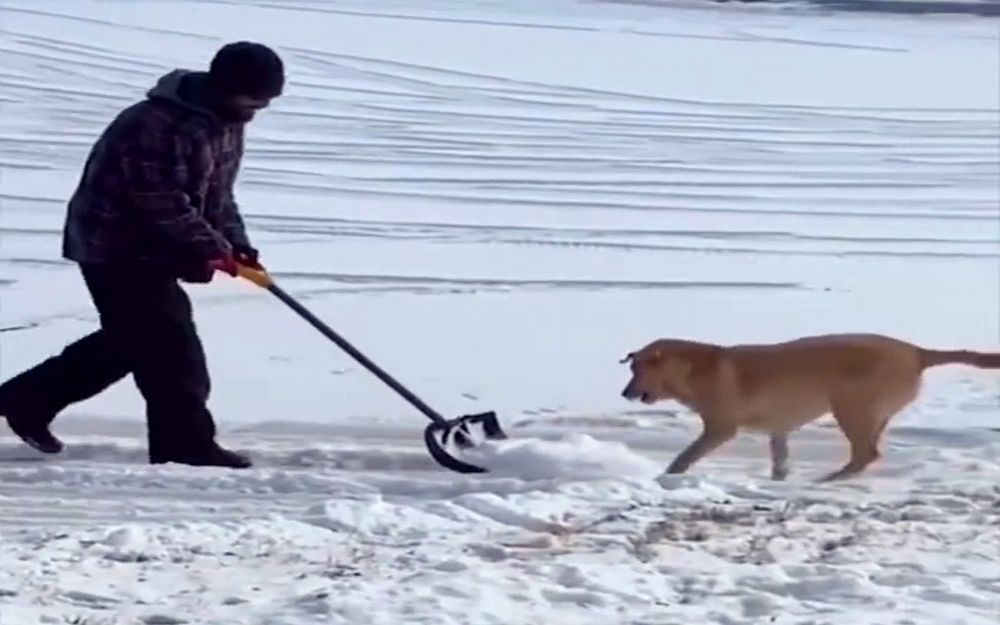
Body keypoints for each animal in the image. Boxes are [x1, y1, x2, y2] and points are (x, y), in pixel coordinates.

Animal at [620, 334, 996, 480]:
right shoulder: (778, 429)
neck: (693, 370)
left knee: (865, 454)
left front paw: (668, 476)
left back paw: (830, 478)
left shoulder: (720, 428)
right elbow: (780, 458)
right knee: (870, 452)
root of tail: (916, 351)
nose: (625, 393)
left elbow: (684, 457)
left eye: (637, 370)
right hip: (870, 414)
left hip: (851, 408)